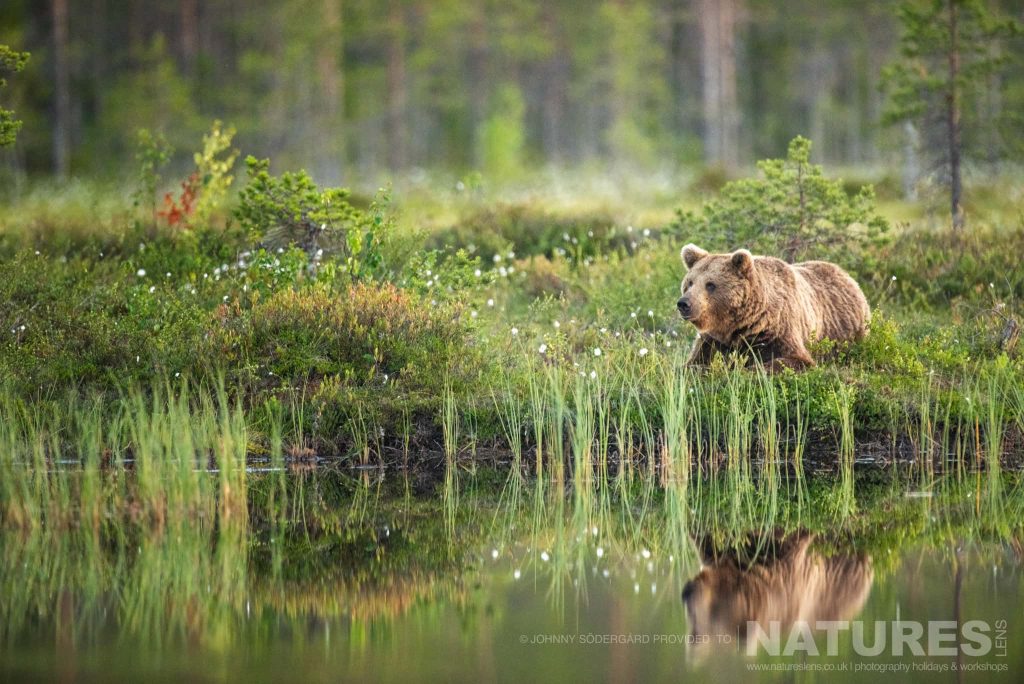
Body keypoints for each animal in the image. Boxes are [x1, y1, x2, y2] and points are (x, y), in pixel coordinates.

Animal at [677, 244, 870, 371]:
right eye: (690, 282)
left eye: (710, 284)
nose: (684, 303)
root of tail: (848, 276)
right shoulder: (713, 340)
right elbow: (693, 362)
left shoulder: (778, 330)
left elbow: (794, 359)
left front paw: (746, 369)